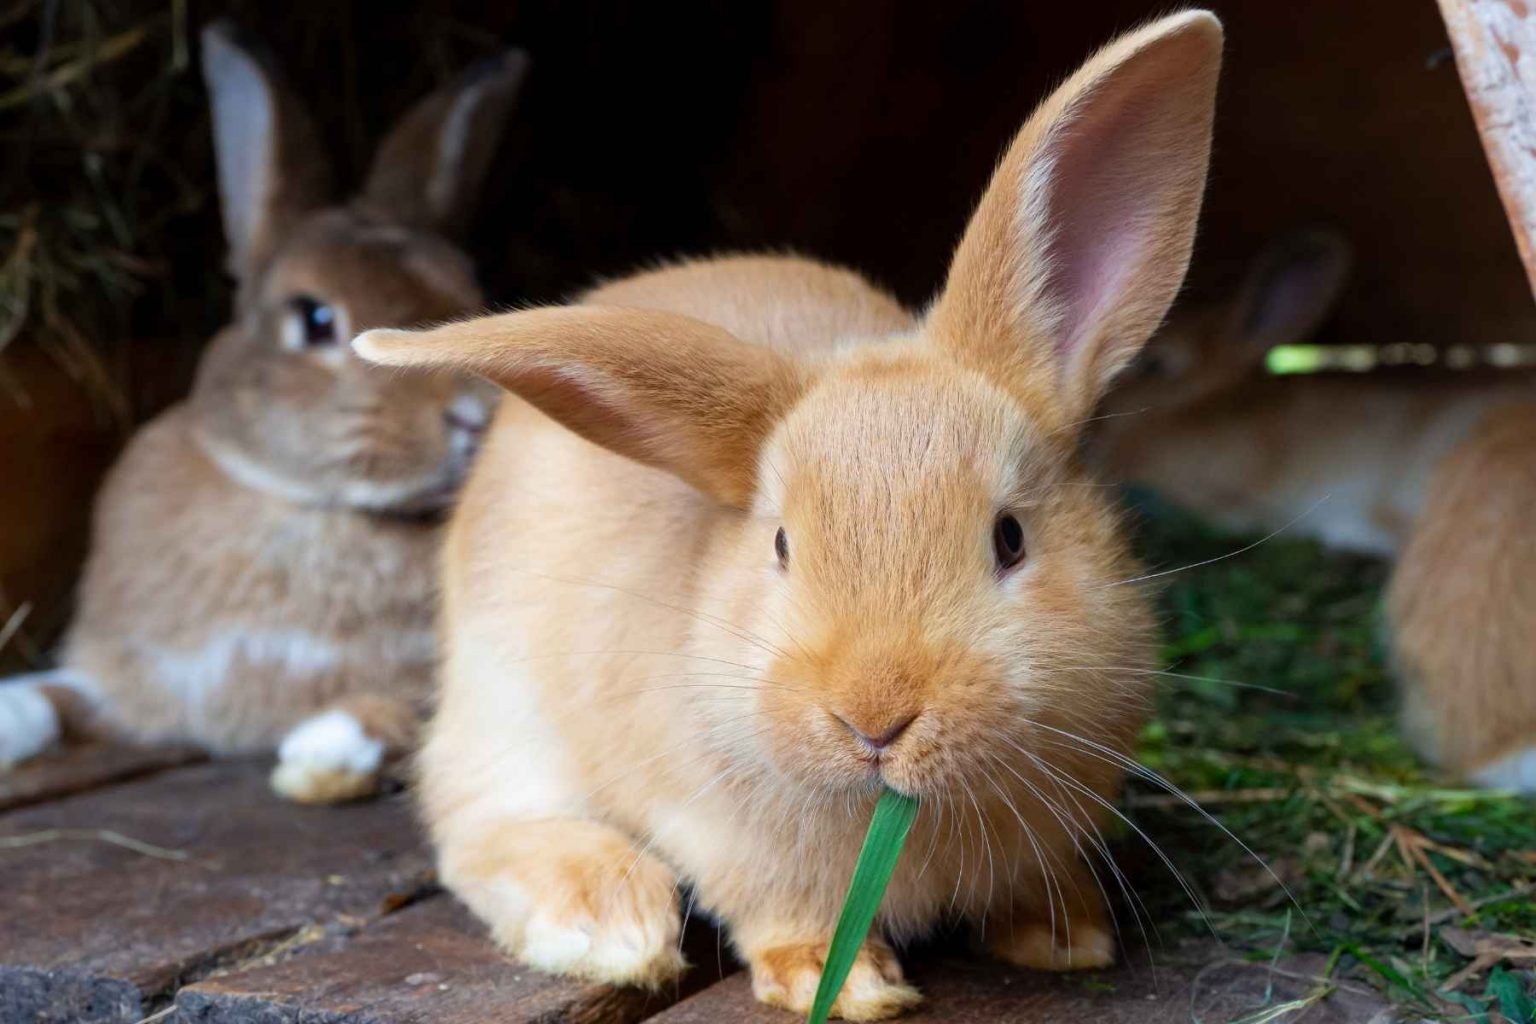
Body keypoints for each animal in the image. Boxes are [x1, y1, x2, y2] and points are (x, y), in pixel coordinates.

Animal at [0, 22, 525, 805]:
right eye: (314, 319)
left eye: (472, 294)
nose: (472, 415)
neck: (305, 508)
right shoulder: (142, 676)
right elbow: (63, 695)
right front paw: (9, 713)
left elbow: (428, 702)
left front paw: (326, 750)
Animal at [350, 12, 1222, 1019]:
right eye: (780, 546)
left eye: (1010, 538)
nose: (876, 718)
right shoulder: (729, 842)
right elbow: (778, 913)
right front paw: (847, 986)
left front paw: (1066, 938)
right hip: (501, 710)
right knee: (479, 826)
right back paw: (612, 920)